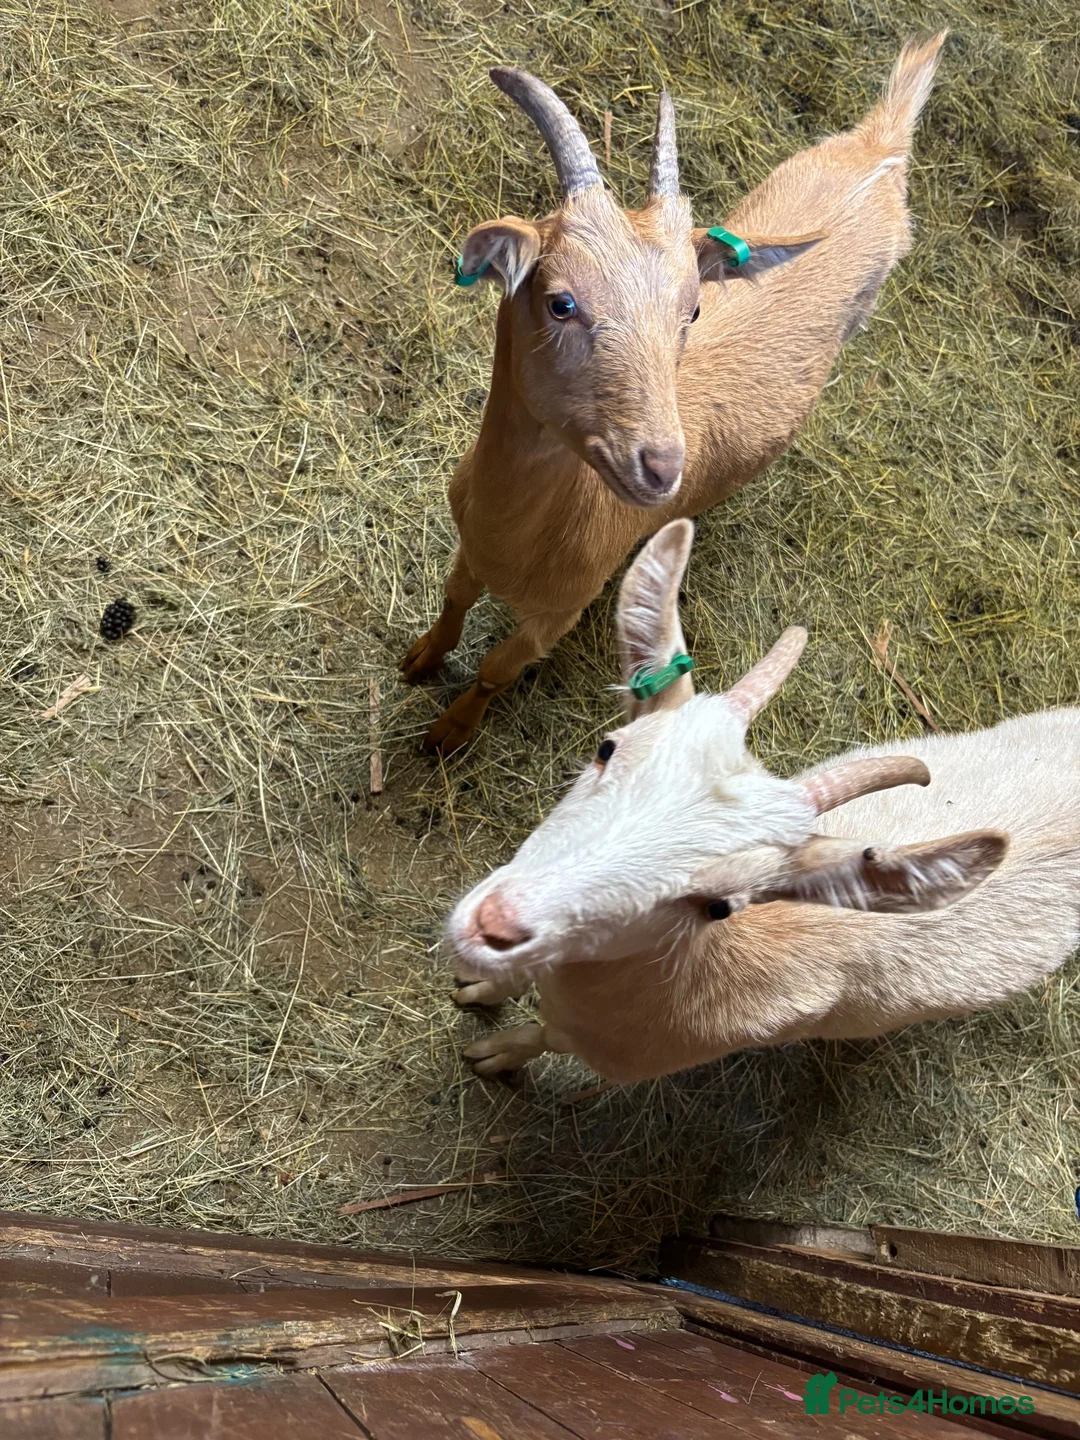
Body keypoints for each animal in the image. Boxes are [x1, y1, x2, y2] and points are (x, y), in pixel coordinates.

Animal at [401, 35, 946, 753]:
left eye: (692, 311)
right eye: (561, 302)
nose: (662, 467)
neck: (513, 530)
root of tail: (882, 143)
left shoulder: (561, 609)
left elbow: (497, 668)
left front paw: (448, 734)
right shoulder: (470, 547)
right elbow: (453, 598)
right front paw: (419, 660)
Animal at [446, 518, 1080, 1084]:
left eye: (718, 907)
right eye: (607, 747)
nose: (493, 925)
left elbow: (542, 1036)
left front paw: (496, 1052)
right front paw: (484, 986)